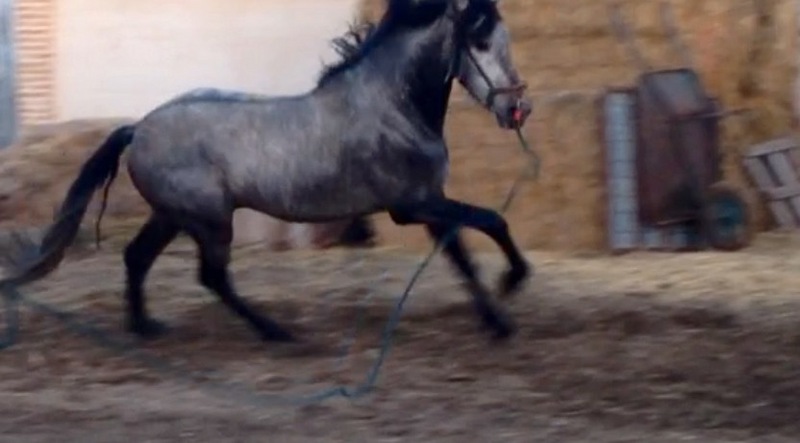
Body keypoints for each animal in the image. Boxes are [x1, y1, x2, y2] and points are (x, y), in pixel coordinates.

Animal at [0, 0, 534, 343]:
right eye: (480, 41)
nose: (518, 110)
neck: (391, 106)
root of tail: (140, 127)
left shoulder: (428, 203)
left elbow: (462, 257)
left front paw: (498, 320)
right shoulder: (414, 204)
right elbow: (492, 222)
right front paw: (513, 284)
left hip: (172, 216)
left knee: (137, 258)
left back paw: (145, 327)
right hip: (210, 220)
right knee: (212, 277)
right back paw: (278, 332)